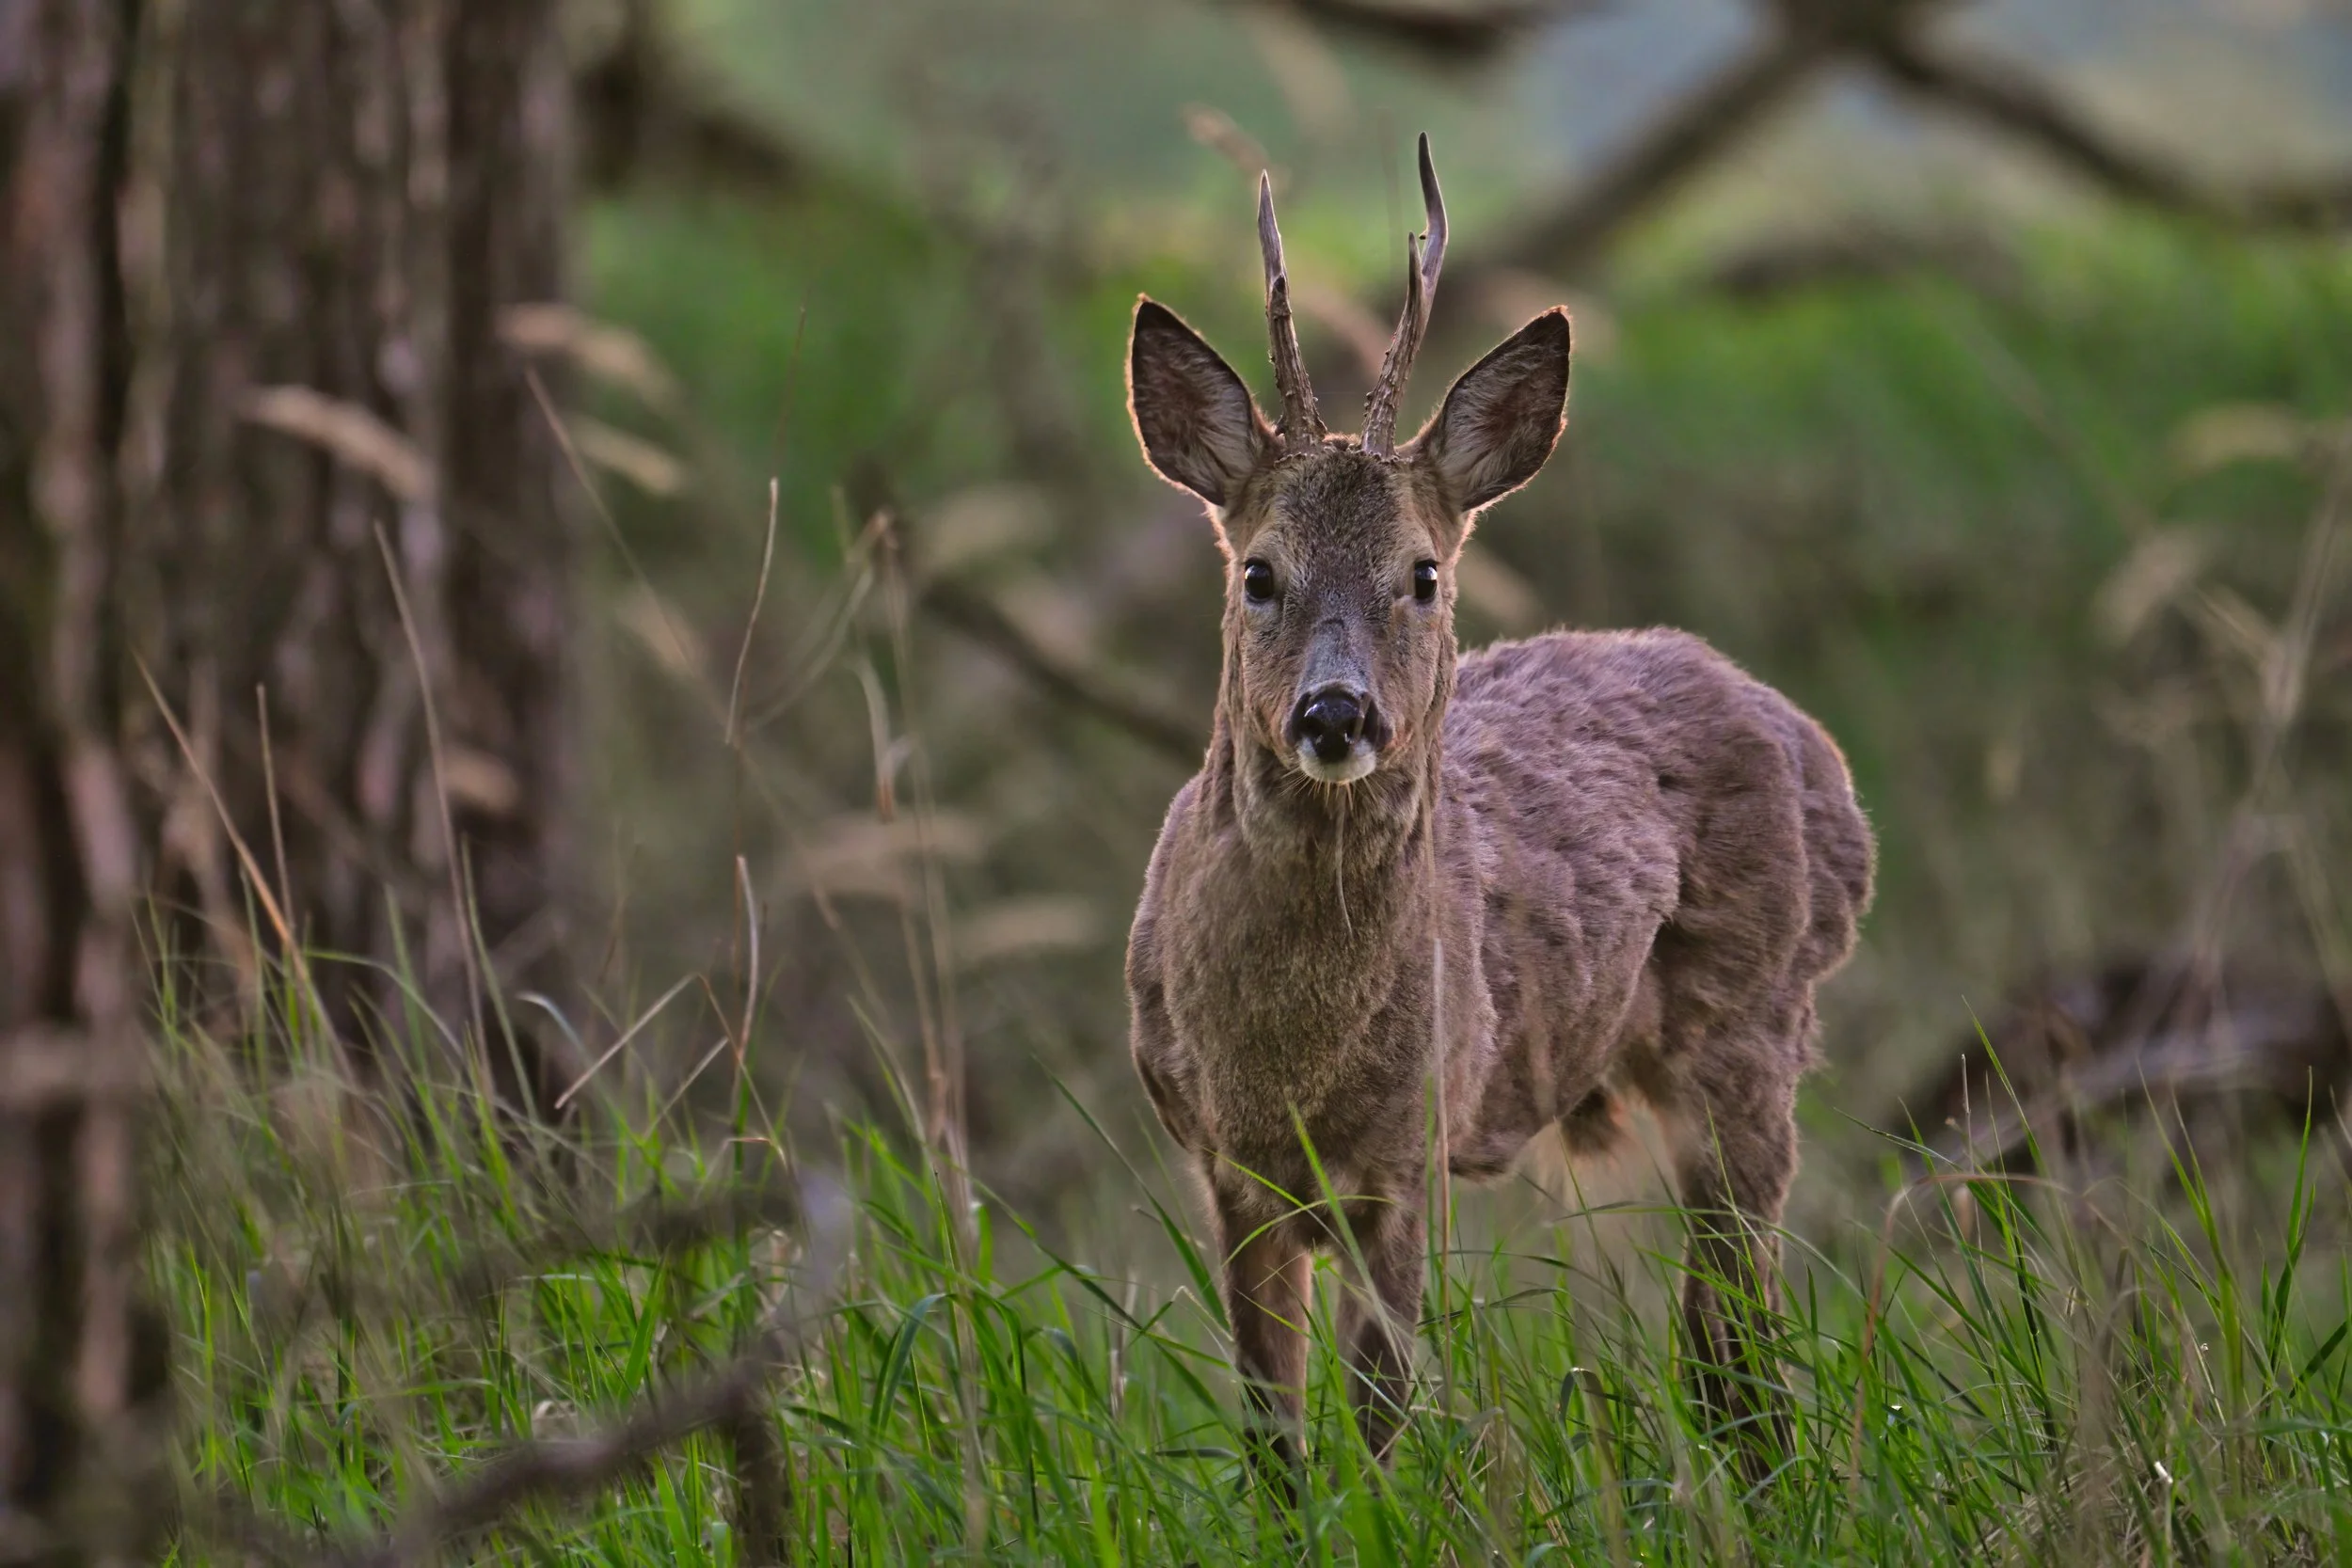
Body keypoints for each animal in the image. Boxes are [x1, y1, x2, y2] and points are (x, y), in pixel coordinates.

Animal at [1120, 136, 1876, 1482]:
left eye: (1422, 573)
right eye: (1257, 571)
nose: (1335, 715)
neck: (1283, 1058)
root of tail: (1811, 744)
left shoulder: (1410, 1142)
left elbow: (1379, 1416)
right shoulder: (1225, 1165)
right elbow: (1273, 1436)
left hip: (1757, 1026)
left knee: (1731, 1342)